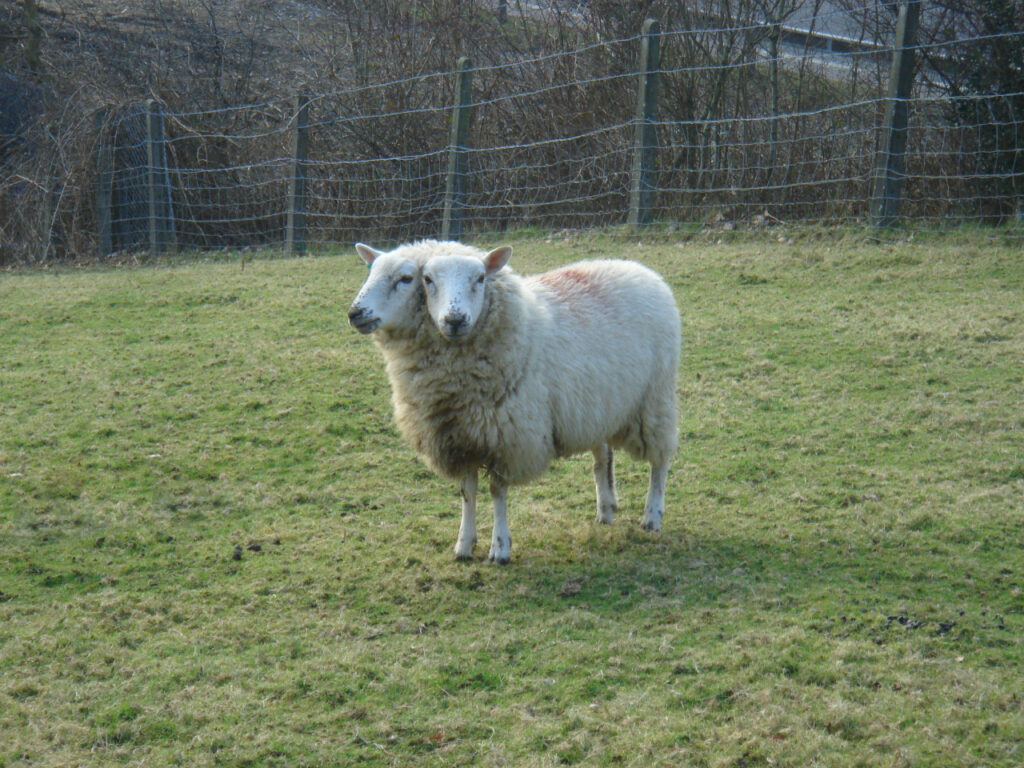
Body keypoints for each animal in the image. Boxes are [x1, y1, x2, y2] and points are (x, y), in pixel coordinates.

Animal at [350, 240, 679, 565]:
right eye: (428, 280)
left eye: (407, 279)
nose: (356, 312)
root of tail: (638, 268)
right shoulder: (462, 436)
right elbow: (467, 491)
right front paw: (464, 544)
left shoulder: (506, 438)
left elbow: (497, 492)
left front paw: (500, 547)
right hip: (599, 406)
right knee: (603, 458)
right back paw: (606, 509)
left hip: (655, 398)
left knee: (660, 461)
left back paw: (652, 515)